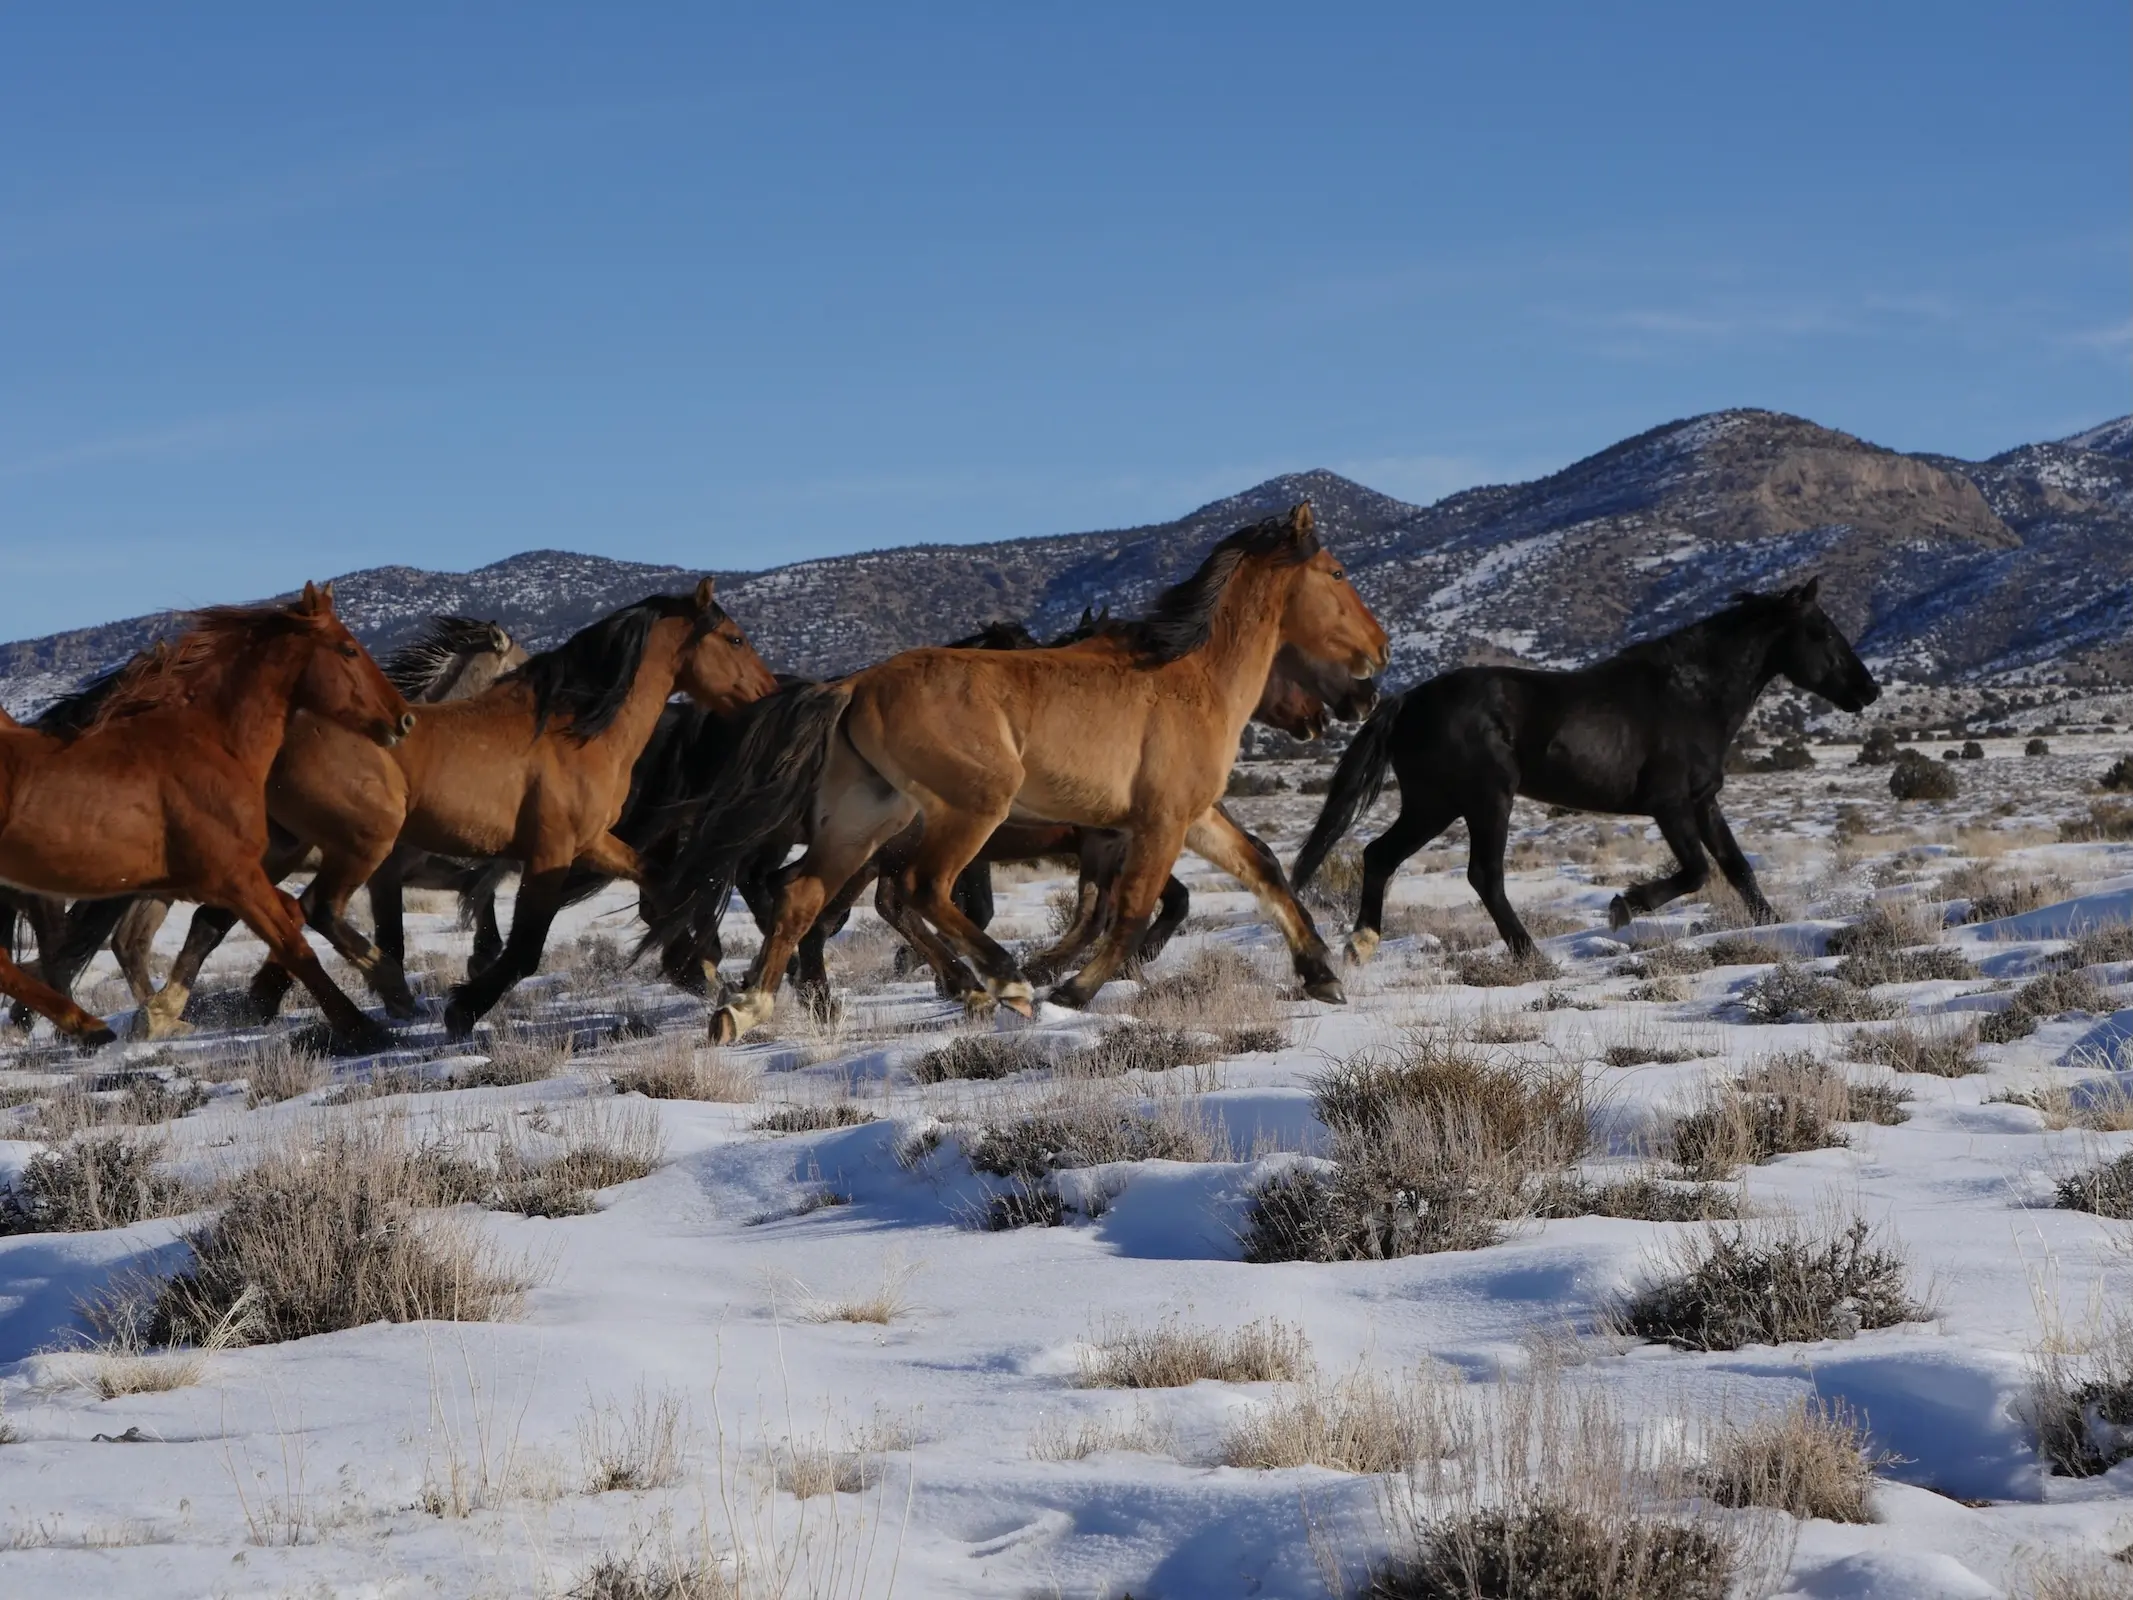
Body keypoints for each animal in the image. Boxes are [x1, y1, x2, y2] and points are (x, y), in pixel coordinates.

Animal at [0, 584, 415, 1051]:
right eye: (348, 649)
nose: (403, 718)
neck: (214, 743)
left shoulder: (213, 882)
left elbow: (283, 921)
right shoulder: (235, 878)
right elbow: (295, 944)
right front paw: (364, 1026)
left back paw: (88, 1026)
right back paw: (88, 1026)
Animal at [140, 582, 776, 1040]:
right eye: (735, 639)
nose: (770, 695)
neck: (576, 730)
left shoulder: (593, 842)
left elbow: (661, 883)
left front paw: (701, 967)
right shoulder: (547, 852)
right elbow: (522, 949)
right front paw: (462, 1010)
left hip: (283, 844)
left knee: (234, 917)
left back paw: (171, 1010)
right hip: (362, 842)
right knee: (314, 909)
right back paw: (386, 992)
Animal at [649, 502, 1388, 1044]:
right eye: (1337, 573)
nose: (1376, 662)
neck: (1190, 673)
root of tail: (853, 685)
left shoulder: (1191, 814)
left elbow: (1261, 869)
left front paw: (1321, 974)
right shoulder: (1156, 821)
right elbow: (1129, 911)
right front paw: (1070, 989)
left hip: (864, 820)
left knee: (804, 896)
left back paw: (745, 1008)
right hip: (970, 809)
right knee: (917, 890)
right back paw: (1002, 981)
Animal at [1290, 578, 1881, 963]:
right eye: (1822, 632)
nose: (1868, 690)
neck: (1692, 694)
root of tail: (1408, 701)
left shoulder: (1703, 800)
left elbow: (1737, 867)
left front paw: (1777, 926)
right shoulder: (1669, 804)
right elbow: (1697, 871)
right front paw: (1624, 907)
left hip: (1433, 804)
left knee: (1379, 855)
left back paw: (1361, 944)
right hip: (1485, 800)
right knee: (1483, 875)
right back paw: (1531, 956)